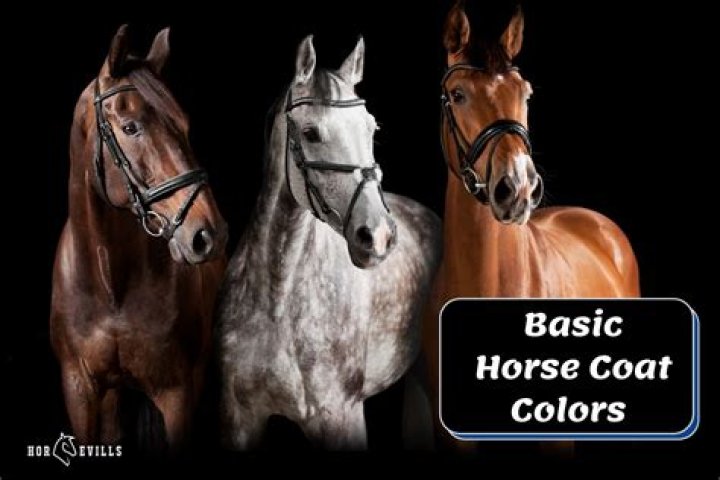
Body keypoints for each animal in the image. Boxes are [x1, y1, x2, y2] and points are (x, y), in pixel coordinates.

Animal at [50, 25, 227, 451]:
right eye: (131, 127)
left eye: (184, 124)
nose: (208, 235)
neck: (110, 283)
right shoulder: (80, 390)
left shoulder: (177, 395)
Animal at [216, 35, 442, 450]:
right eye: (310, 133)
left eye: (371, 129)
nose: (378, 235)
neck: (278, 297)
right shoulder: (238, 419)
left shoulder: (340, 417)